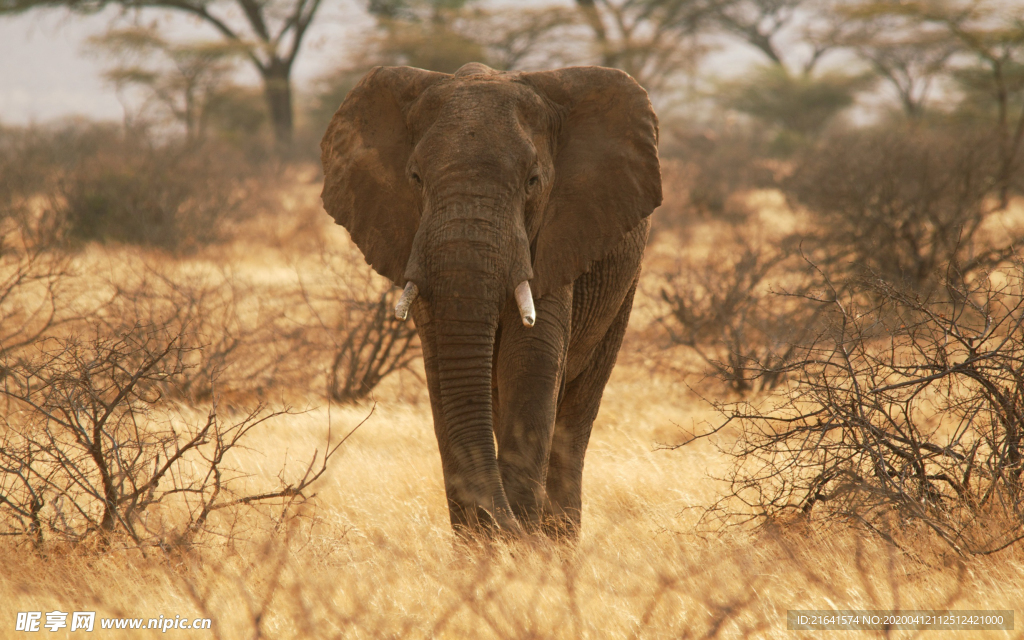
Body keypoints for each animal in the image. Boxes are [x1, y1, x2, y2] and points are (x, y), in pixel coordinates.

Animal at [319, 61, 663, 540]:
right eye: (415, 178)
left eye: (533, 182)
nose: (509, 528)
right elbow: (442, 369)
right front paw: (484, 547)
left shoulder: (556, 239)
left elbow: (532, 359)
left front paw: (521, 546)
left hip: (625, 285)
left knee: (576, 415)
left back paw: (558, 540)